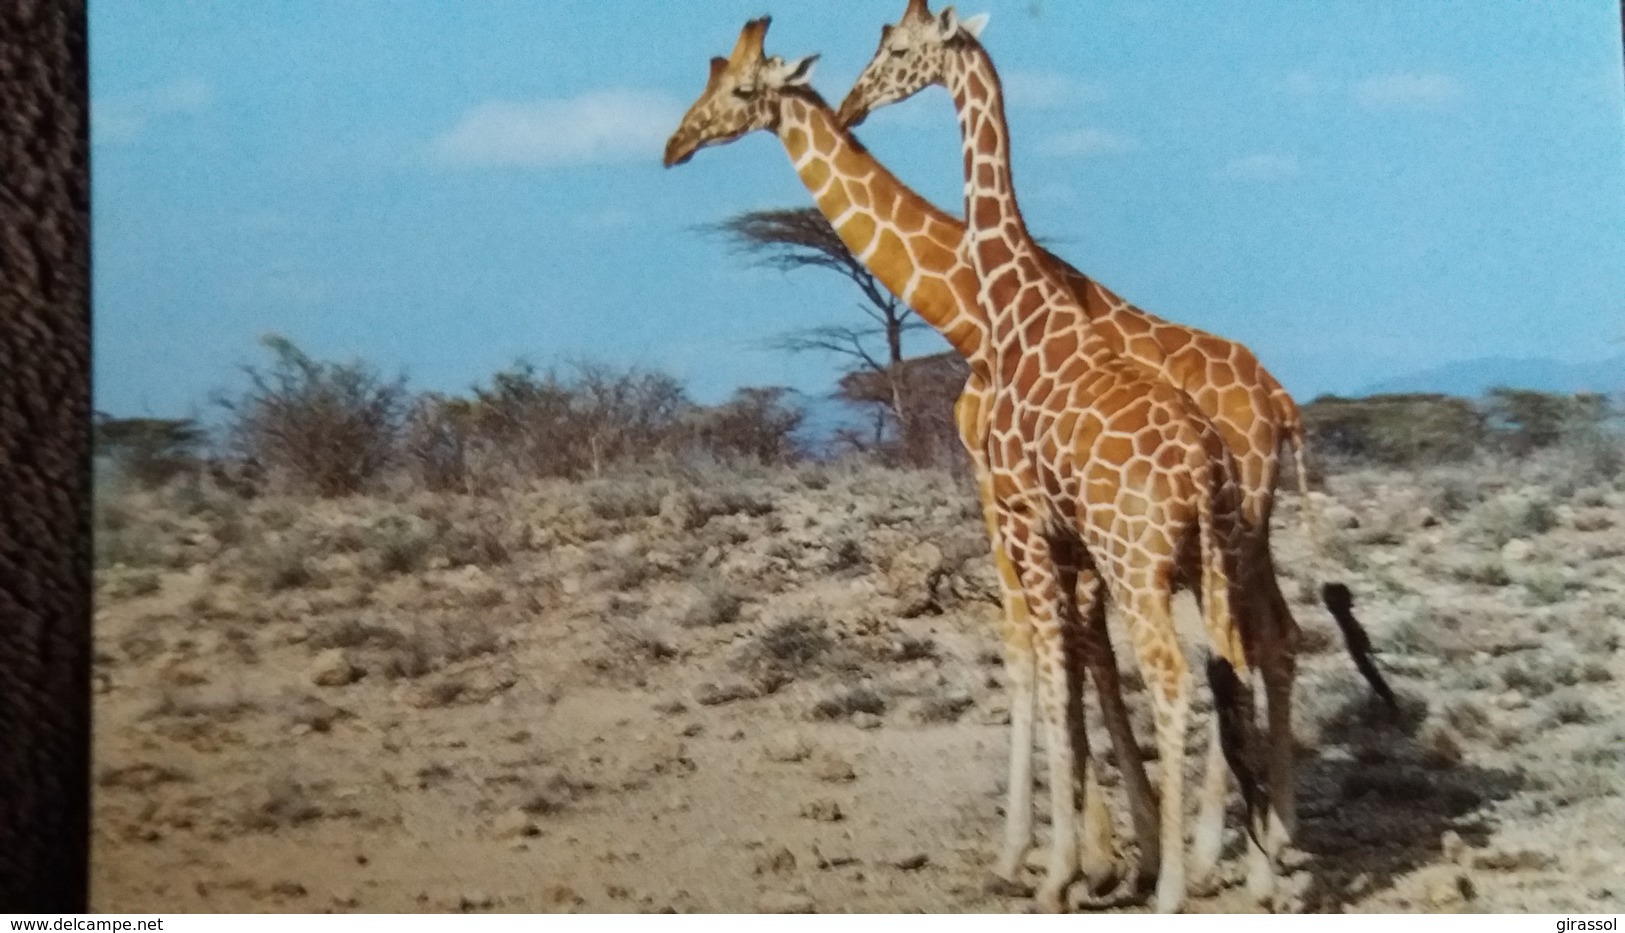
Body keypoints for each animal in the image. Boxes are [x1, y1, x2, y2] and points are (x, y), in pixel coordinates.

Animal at [832, 5, 1287, 916]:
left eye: (894, 45)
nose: (851, 102)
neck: (1012, 310)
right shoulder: (1059, 537)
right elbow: (1073, 665)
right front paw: (1087, 856)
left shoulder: (1023, 517)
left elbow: (1054, 663)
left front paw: (1062, 868)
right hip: (1219, 554)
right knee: (1242, 657)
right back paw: (1253, 860)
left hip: (1148, 561)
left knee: (1180, 675)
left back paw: (1180, 880)